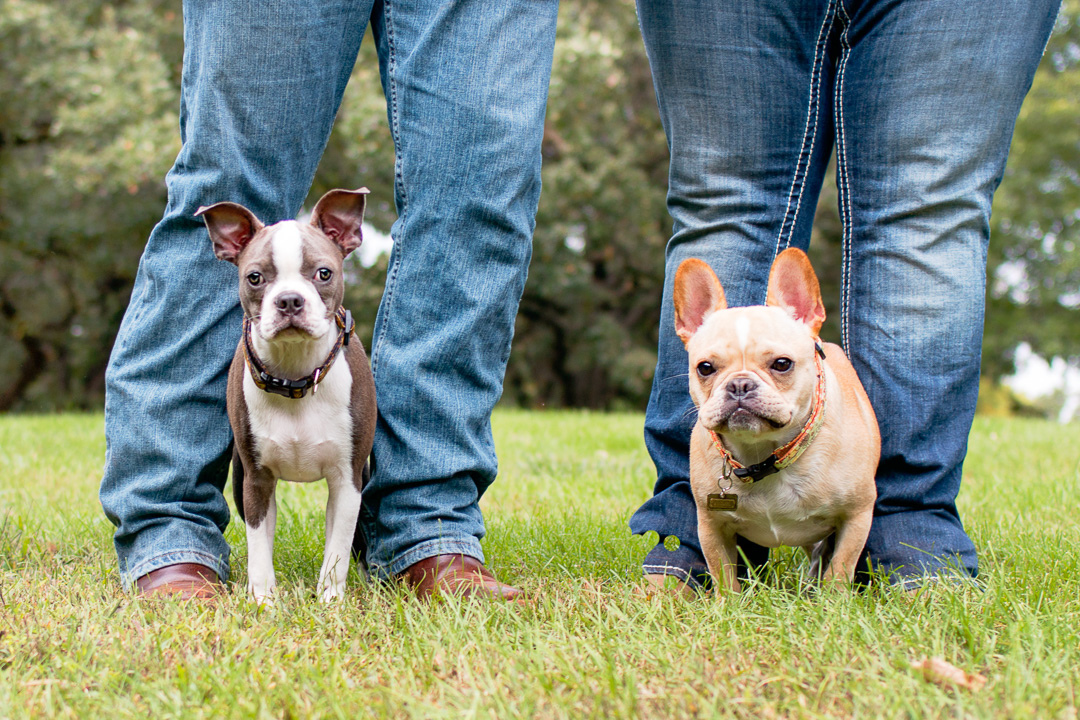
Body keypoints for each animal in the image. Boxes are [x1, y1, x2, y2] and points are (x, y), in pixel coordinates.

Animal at [196, 187, 378, 604]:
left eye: (324, 273)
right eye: (255, 277)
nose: (290, 300)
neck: (295, 376)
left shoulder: (347, 479)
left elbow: (337, 548)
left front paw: (330, 600)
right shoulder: (256, 479)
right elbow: (259, 545)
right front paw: (263, 599)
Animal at [678, 248, 881, 591]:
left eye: (782, 364)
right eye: (704, 368)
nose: (740, 385)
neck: (765, 455)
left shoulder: (857, 515)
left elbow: (840, 568)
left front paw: (834, 600)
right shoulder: (711, 525)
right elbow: (723, 574)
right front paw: (729, 602)